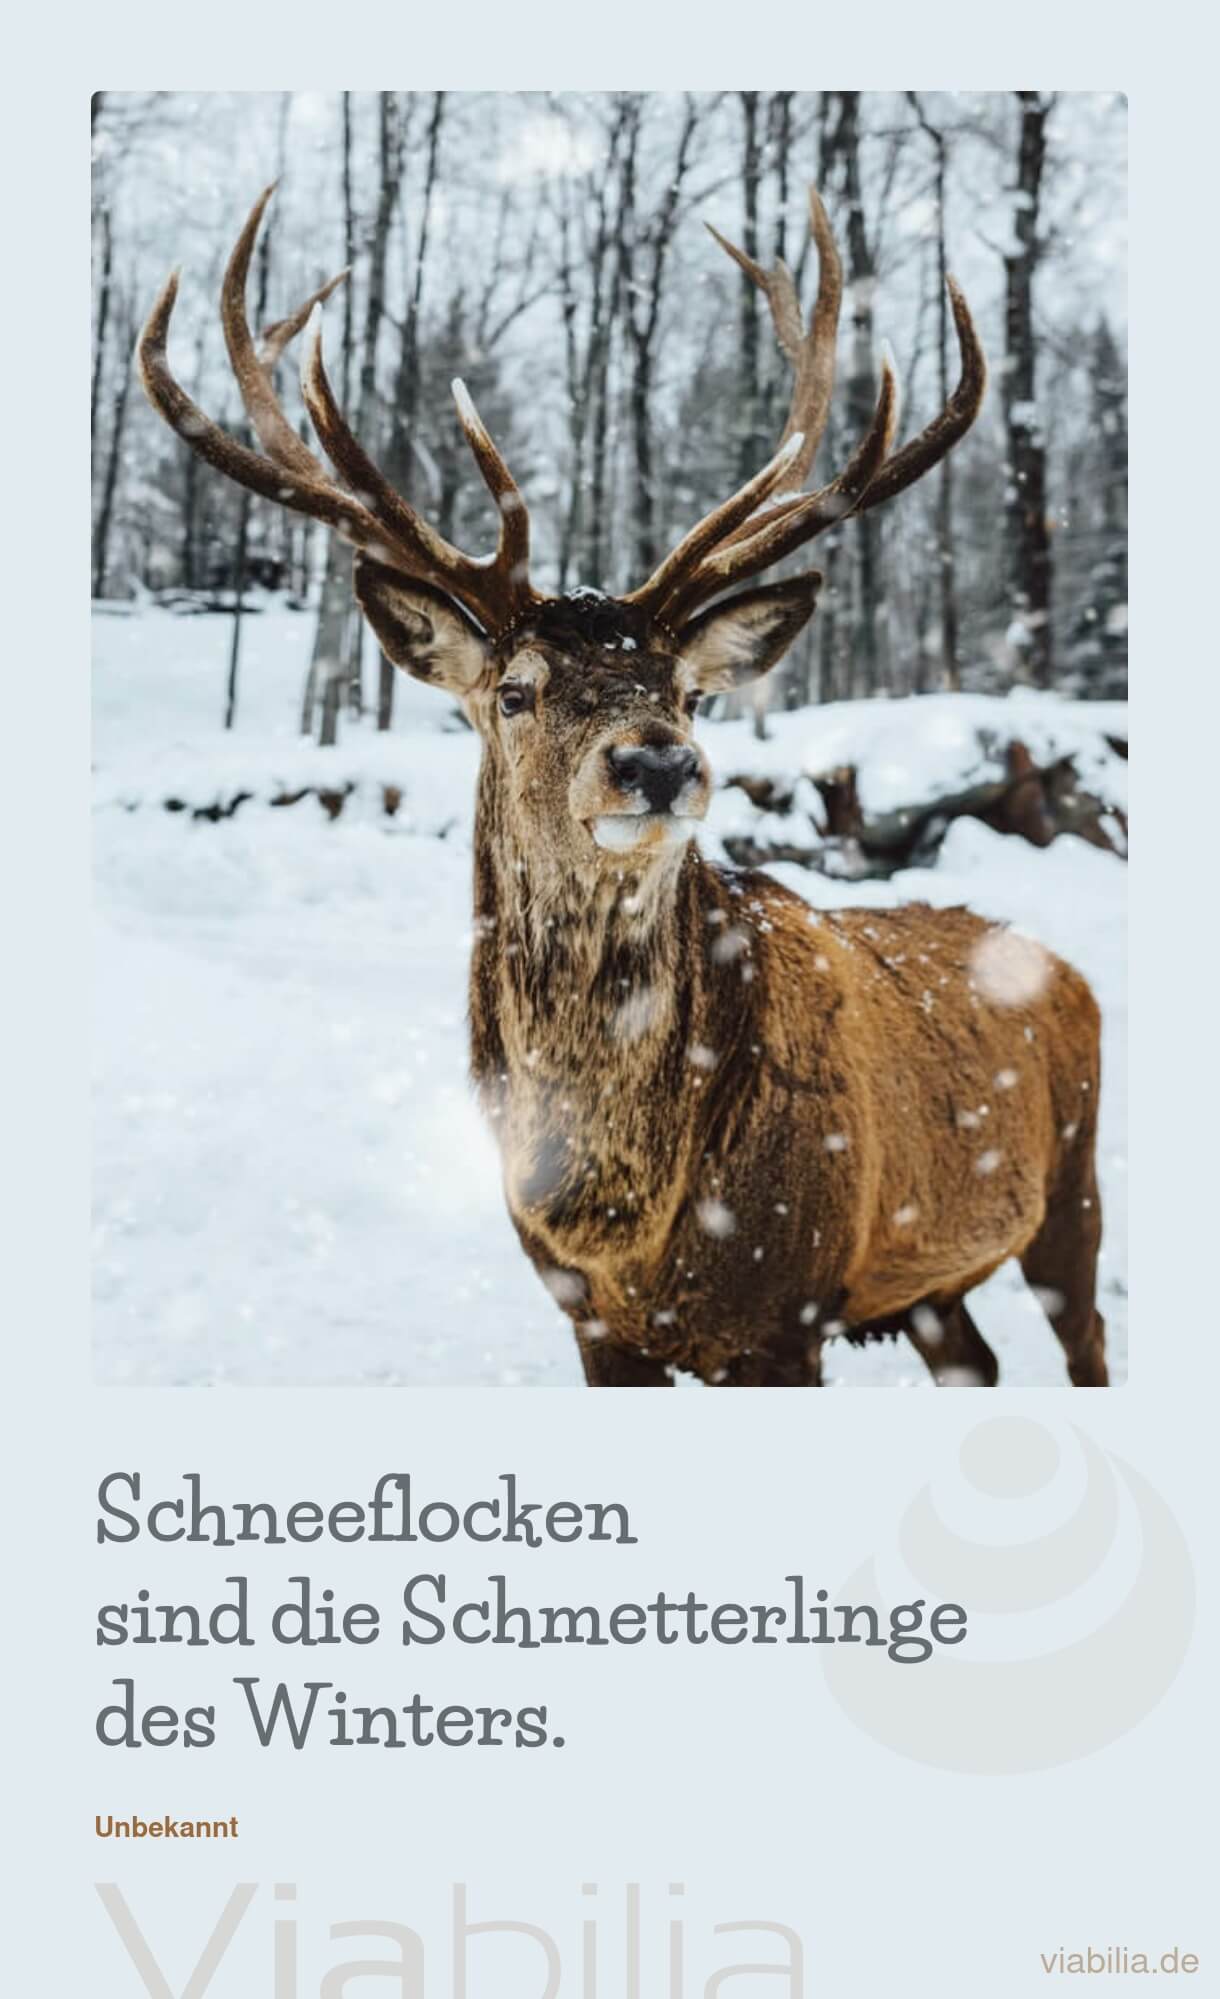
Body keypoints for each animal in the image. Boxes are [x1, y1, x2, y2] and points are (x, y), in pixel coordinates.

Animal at [138, 182, 1108, 1389]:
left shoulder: (787, 1311)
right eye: (513, 690)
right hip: (930, 1285)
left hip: (1072, 1192)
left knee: (1088, 1338)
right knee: (976, 1359)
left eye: (688, 691)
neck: (622, 1221)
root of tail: (1066, 970)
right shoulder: (589, 1320)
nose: (656, 760)